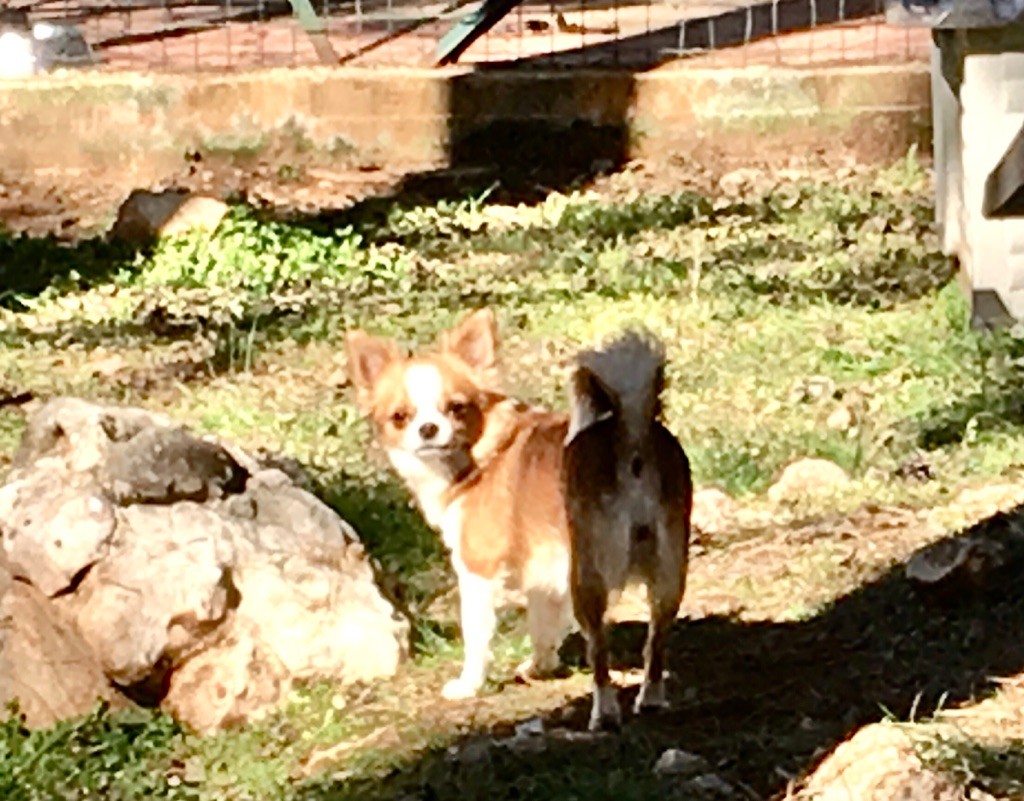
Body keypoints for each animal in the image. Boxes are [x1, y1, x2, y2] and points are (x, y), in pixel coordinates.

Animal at [345, 309, 574, 700]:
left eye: (456, 409)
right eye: (400, 417)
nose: (428, 428)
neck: (481, 456)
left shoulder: (477, 568)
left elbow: (475, 632)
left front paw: (469, 683)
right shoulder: (543, 567)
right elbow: (544, 620)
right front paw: (541, 666)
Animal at [562, 331, 692, 731]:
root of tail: (632, 437)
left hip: (586, 577)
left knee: (599, 653)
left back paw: (603, 713)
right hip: (672, 570)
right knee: (656, 642)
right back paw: (649, 699)